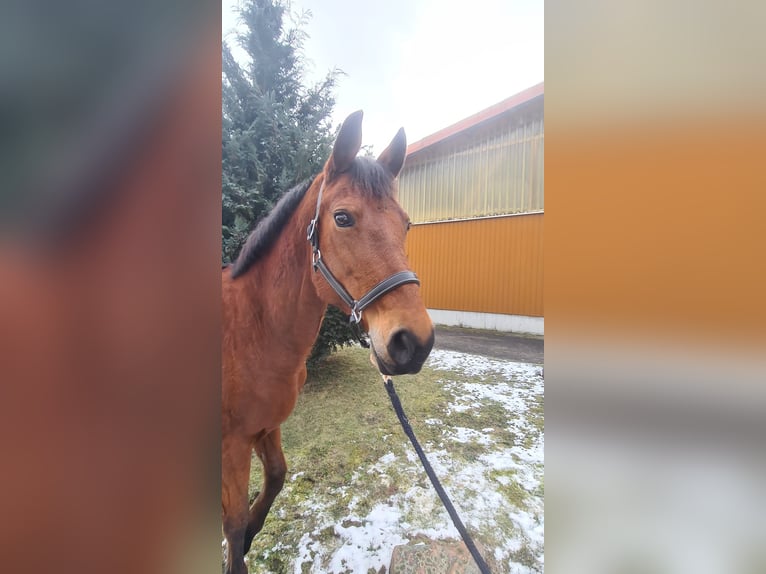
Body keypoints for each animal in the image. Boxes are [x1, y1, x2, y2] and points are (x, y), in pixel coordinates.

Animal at [222, 110, 438, 572]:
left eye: (406, 224)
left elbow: (275, 478)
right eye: (342, 218)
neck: (250, 331)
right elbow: (231, 521)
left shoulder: (267, 427)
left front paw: (249, 535)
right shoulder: (231, 443)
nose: (414, 342)